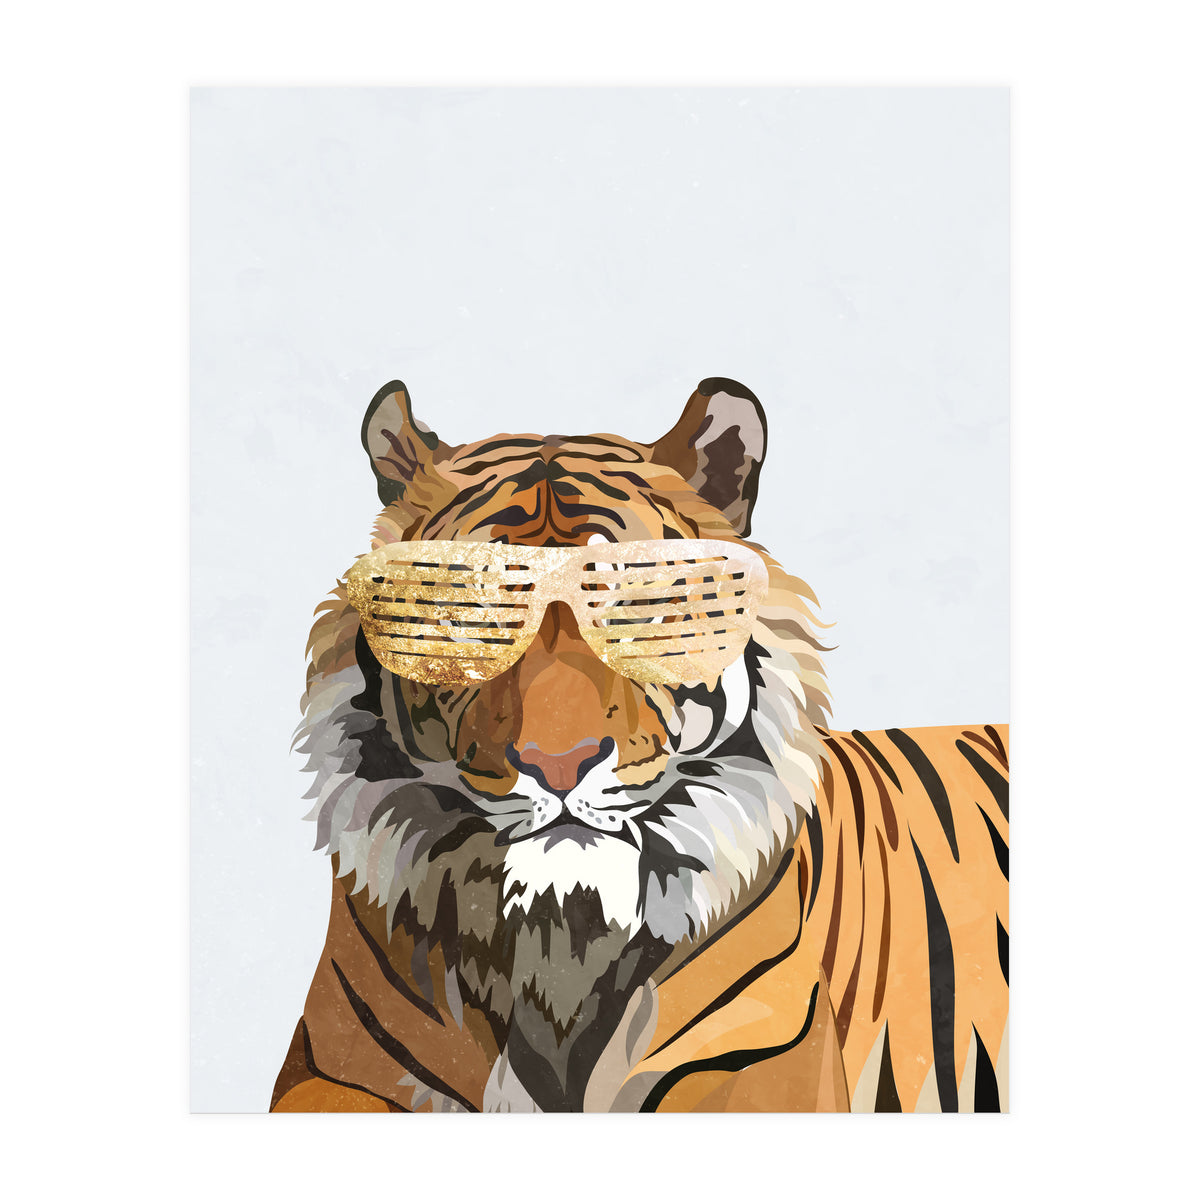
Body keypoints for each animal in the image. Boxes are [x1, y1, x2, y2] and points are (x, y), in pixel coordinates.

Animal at [270, 377, 1009, 1113]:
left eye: (634, 604)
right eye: (479, 609)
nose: (558, 766)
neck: (560, 940)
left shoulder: (759, 1057)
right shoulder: (331, 1064)